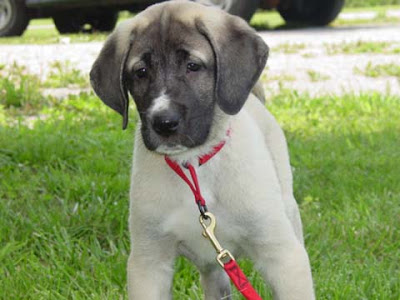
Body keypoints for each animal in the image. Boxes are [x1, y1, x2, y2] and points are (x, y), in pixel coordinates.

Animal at [90, 1, 316, 298]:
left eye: (193, 66)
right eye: (140, 72)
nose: (164, 123)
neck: (194, 166)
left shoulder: (283, 258)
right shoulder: (149, 262)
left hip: (287, 213)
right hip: (213, 265)